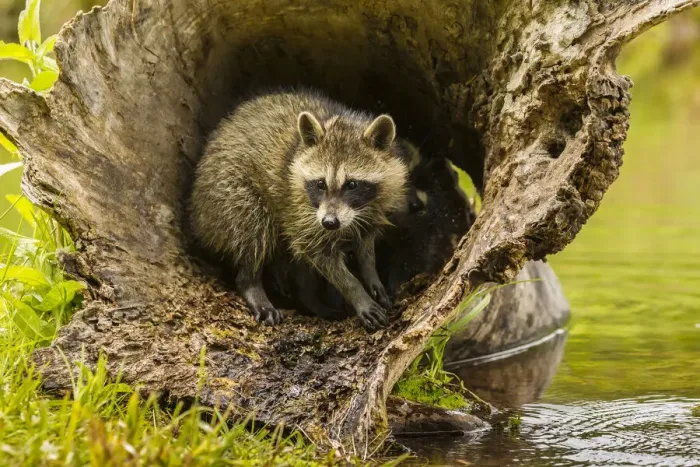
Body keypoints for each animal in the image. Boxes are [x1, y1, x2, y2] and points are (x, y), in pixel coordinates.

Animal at [189, 90, 408, 330]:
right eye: (320, 184)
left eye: (352, 184)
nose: (329, 223)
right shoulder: (302, 211)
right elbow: (318, 253)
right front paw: (357, 293)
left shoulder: (378, 202)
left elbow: (366, 243)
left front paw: (370, 275)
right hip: (229, 190)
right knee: (253, 230)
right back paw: (252, 283)